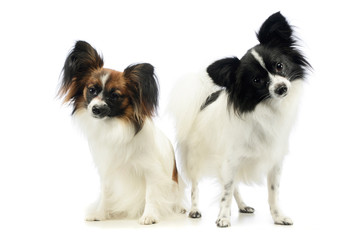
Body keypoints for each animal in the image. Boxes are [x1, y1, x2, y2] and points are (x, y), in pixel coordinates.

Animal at [58, 40, 184, 225]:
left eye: (114, 96)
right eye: (92, 90)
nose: (95, 109)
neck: (113, 126)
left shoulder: (152, 172)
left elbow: (151, 194)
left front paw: (149, 216)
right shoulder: (107, 169)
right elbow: (106, 193)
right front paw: (100, 213)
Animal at [167, 12, 310, 228]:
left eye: (279, 66)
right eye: (257, 81)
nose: (281, 88)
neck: (266, 108)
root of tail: (203, 101)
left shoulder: (273, 162)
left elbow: (272, 193)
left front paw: (278, 217)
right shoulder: (230, 160)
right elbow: (225, 192)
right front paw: (223, 217)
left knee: (234, 186)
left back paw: (243, 206)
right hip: (195, 159)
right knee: (195, 186)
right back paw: (194, 209)